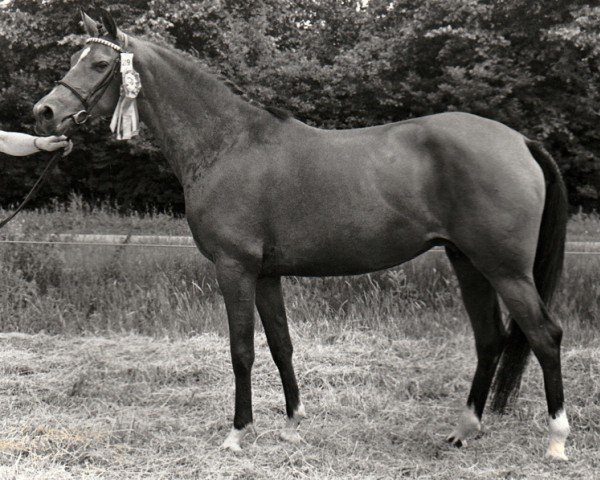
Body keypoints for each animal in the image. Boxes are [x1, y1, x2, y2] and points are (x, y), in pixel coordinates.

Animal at [34, 9, 572, 462]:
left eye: (99, 63)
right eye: (73, 59)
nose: (44, 112)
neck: (229, 144)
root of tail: (520, 140)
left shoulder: (235, 269)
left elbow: (242, 350)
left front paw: (238, 432)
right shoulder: (266, 274)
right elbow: (281, 346)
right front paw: (293, 424)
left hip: (505, 269)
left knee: (545, 335)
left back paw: (556, 440)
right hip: (468, 262)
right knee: (489, 339)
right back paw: (463, 431)